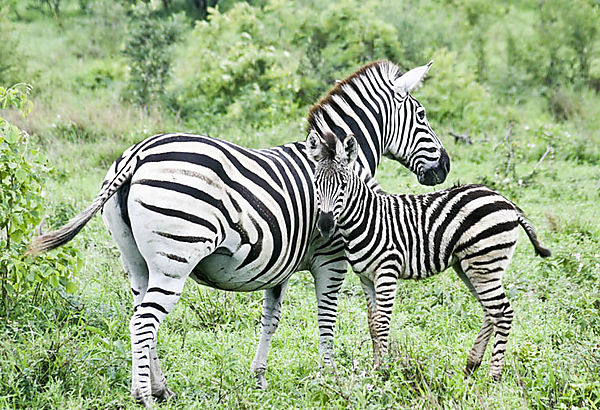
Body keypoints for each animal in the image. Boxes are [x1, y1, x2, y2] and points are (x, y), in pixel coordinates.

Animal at [28, 59, 450, 406]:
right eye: (422, 115)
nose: (445, 167)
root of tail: (138, 153)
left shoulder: (280, 263)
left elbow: (272, 319)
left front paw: (259, 378)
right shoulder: (331, 258)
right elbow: (329, 318)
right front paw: (331, 379)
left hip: (136, 261)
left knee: (138, 315)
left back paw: (160, 388)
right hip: (175, 259)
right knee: (144, 322)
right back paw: (144, 396)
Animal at [312, 131, 552, 382]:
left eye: (343, 184)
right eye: (316, 183)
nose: (325, 224)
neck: (367, 217)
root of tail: (507, 202)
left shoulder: (387, 272)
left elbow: (382, 324)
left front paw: (384, 372)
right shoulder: (366, 277)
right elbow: (372, 324)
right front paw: (376, 369)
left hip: (485, 262)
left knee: (503, 312)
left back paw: (494, 376)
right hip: (471, 267)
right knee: (490, 311)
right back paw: (471, 366)